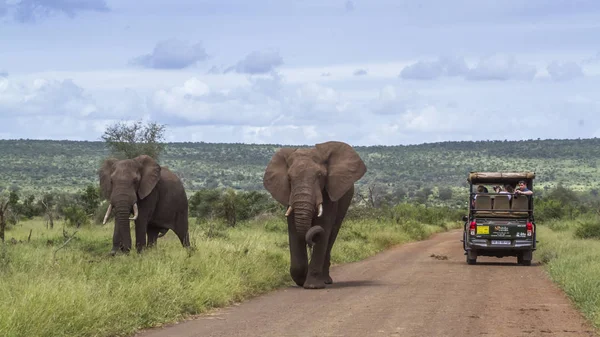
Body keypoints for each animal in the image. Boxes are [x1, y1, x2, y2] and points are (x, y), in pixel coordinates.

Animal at [262, 140, 366, 288]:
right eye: (289, 178)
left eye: (320, 176)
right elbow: (294, 230)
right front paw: (301, 280)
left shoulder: (328, 194)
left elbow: (323, 227)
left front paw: (313, 286)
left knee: (332, 234)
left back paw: (326, 280)